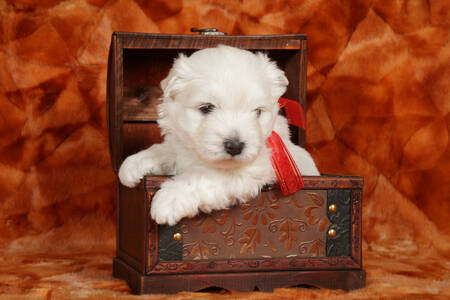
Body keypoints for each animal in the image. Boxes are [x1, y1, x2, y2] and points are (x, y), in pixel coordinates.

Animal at [118, 45, 318, 225]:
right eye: (206, 108)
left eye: (257, 111)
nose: (235, 146)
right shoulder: (182, 143)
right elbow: (165, 150)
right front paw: (133, 164)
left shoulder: (248, 170)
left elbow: (201, 177)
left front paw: (169, 199)